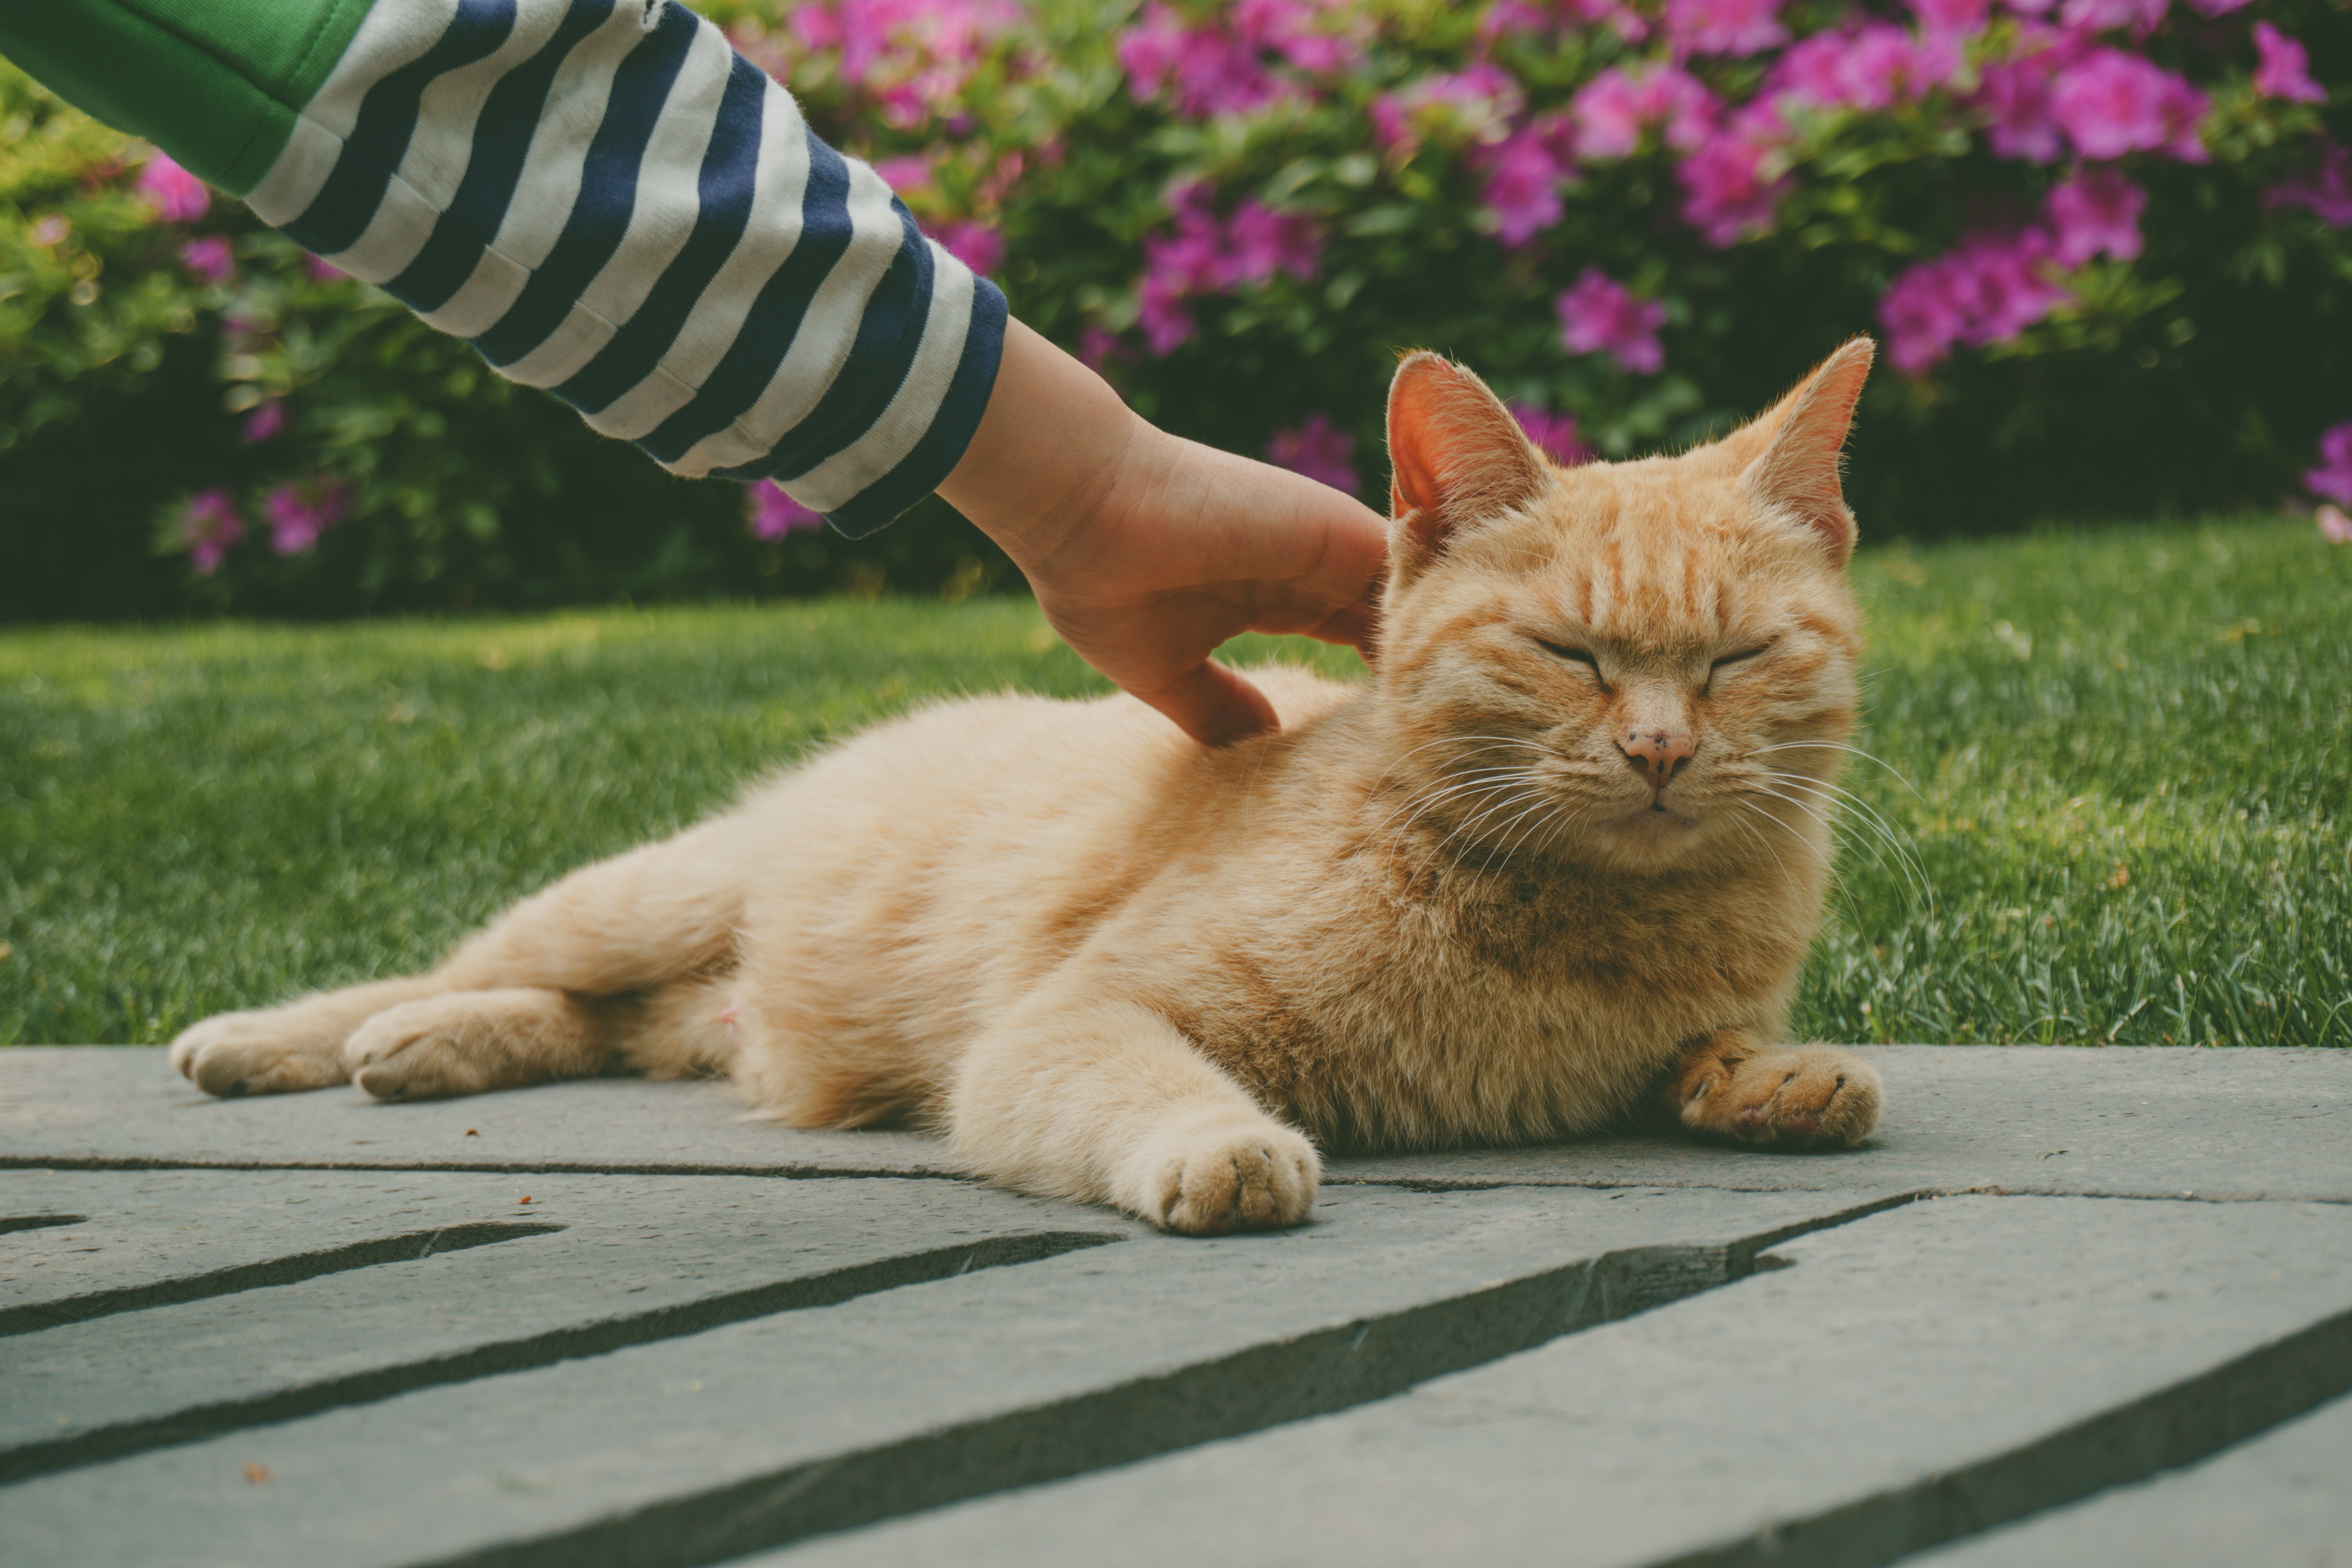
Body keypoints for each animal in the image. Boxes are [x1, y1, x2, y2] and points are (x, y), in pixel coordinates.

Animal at [171, 343, 1891, 1241]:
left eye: (1738, 658)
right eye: (1568, 654)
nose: (1660, 749)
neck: (1585, 930)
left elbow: (1713, 1058)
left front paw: (1779, 1079)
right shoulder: (1070, 1023)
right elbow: (1146, 1085)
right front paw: (1228, 1148)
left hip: (683, 1002)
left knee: (588, 1025)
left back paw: (436, 1056)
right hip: (642, 895)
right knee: (467, 970)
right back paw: (290, 1040)